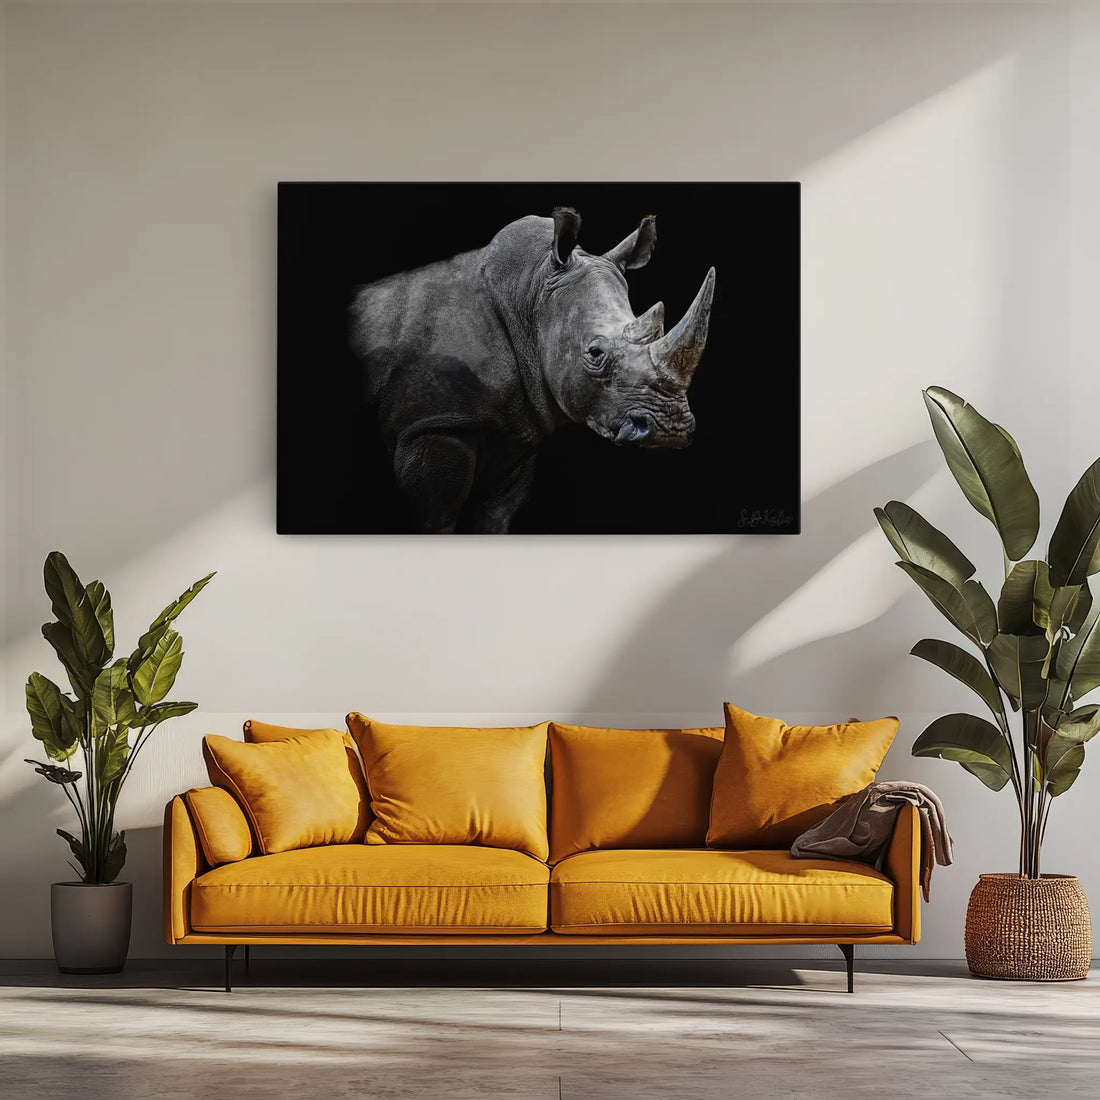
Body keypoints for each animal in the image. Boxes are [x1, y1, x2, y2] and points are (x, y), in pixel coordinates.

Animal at [349, 207, 716, 533]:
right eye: (595, 353)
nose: (670, 429)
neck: (530, 295)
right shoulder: (434, 426)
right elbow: (435, 519)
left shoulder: (516, 433)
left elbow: (493, 519)